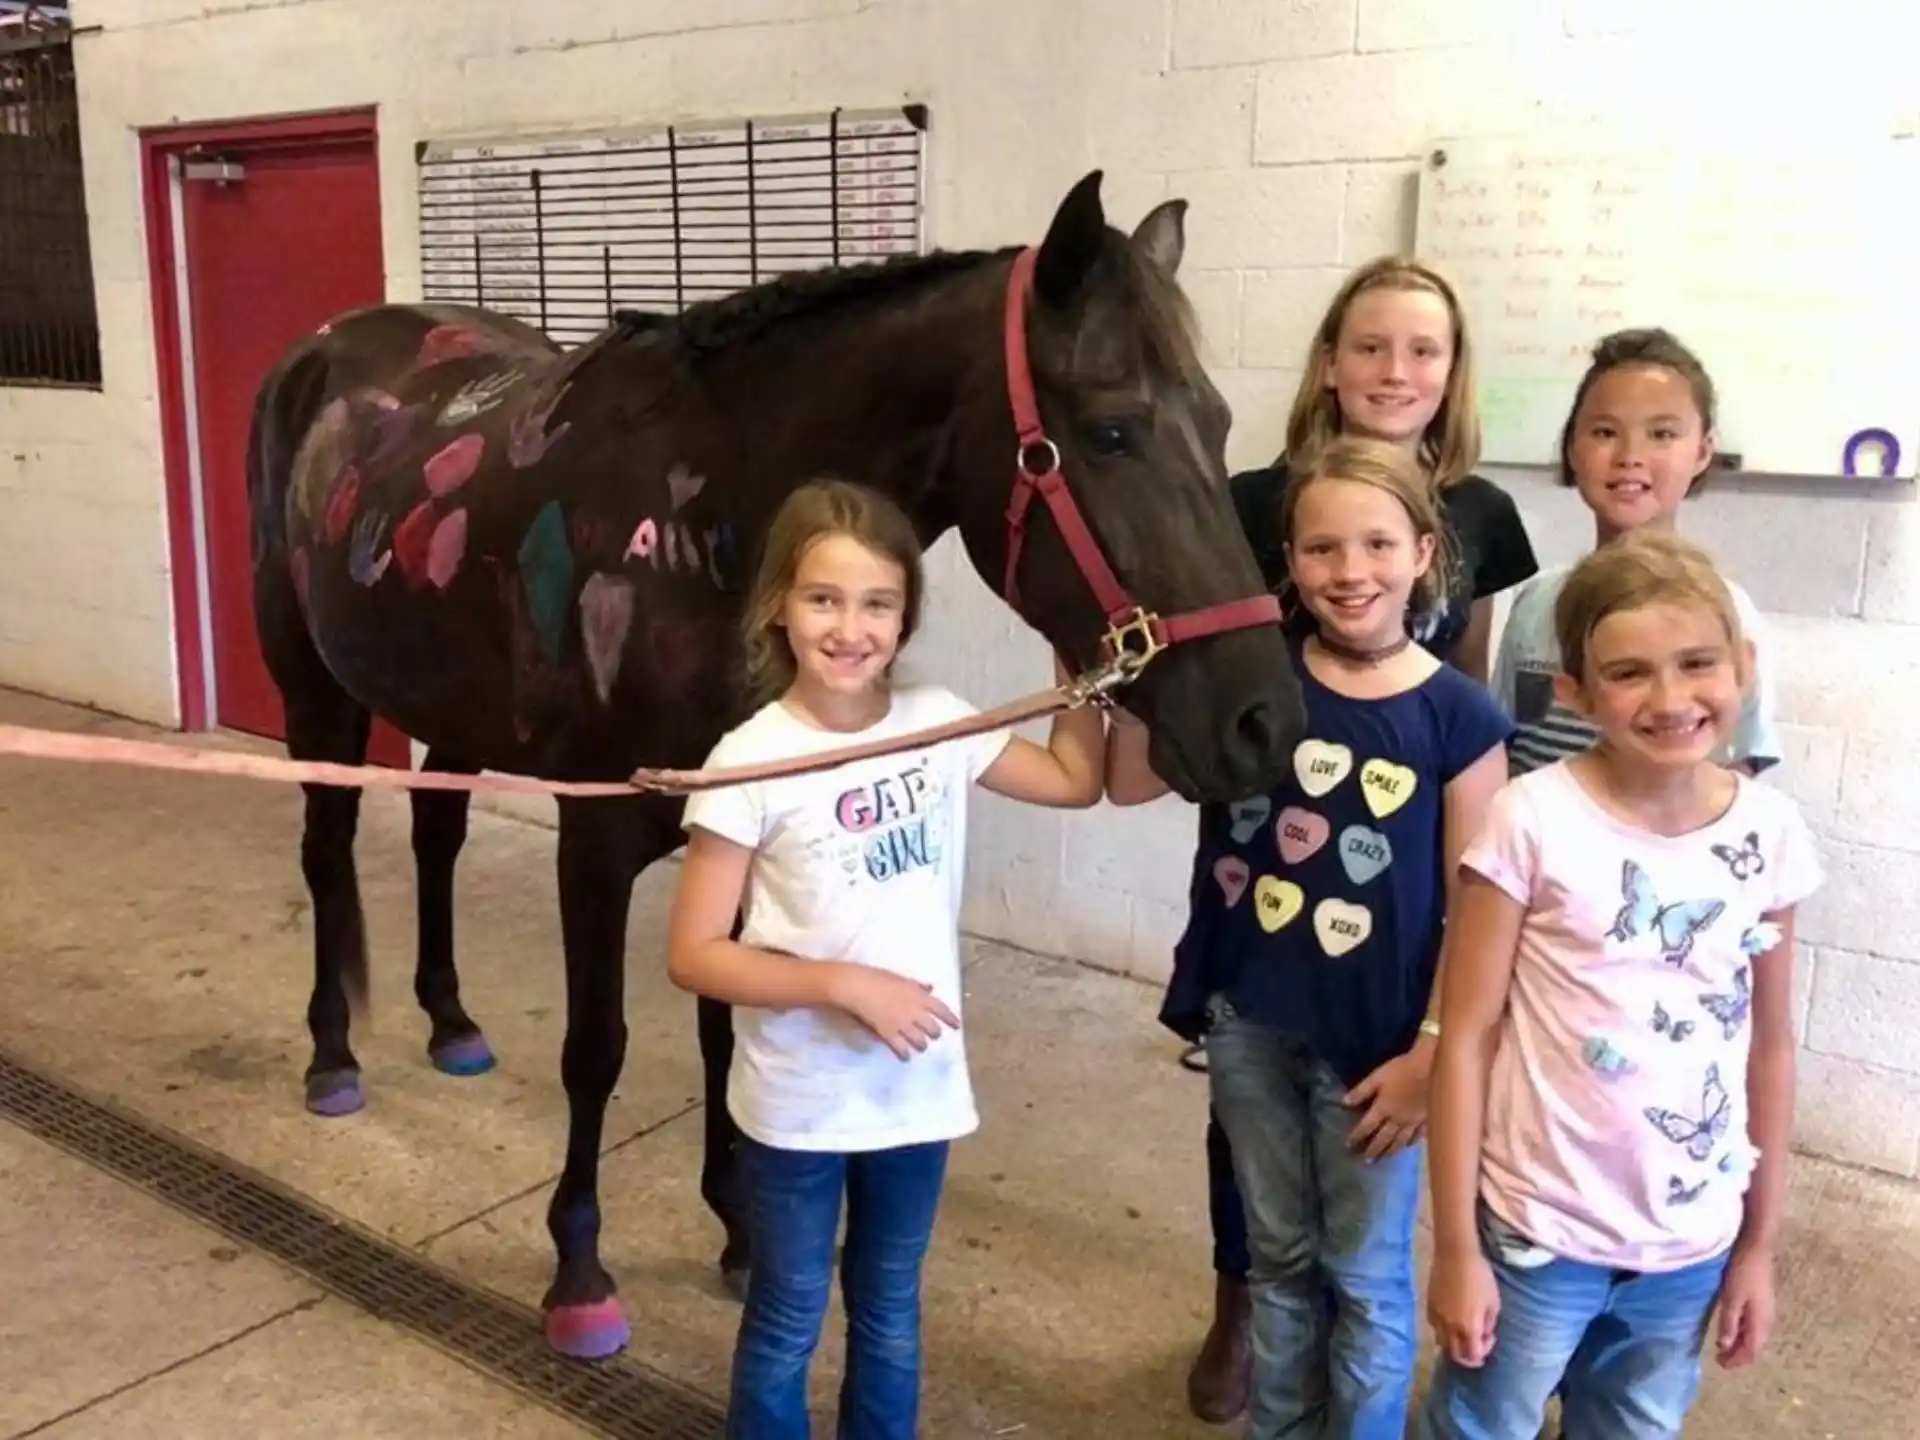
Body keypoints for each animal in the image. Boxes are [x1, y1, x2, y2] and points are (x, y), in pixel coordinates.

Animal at [245, 168, 1308, 1358]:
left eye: (1217, 423)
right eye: (1112, 430)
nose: (1265, 720)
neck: (708, 520)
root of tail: (323, 350)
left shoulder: (740, 830)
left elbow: (729, 1027)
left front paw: (741, 1227)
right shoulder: (594, 842)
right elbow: (597, 1047)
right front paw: (580, 1271)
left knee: (436, 836)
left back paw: (452, 1022)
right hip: (316, 690)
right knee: (327, 851)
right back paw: (333, 1058)